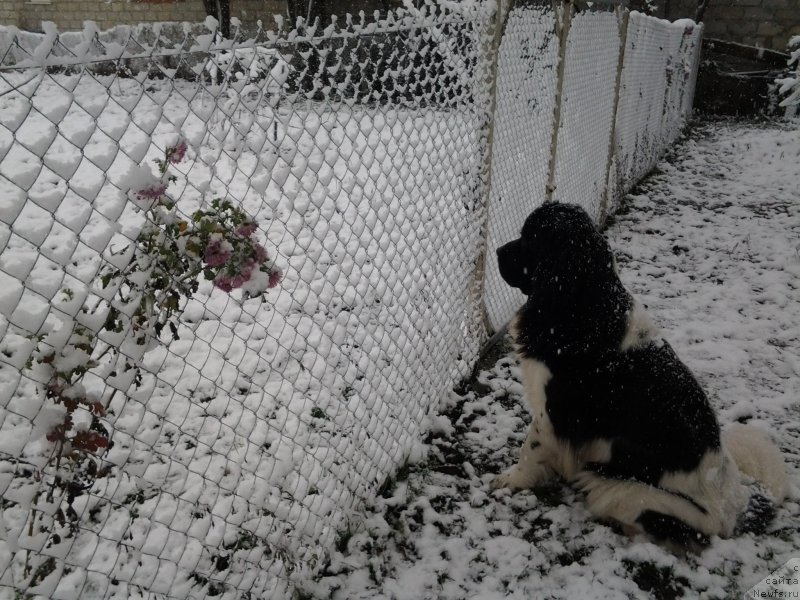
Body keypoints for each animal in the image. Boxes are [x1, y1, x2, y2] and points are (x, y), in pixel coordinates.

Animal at [494, 204, 788, 552]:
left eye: (529, 239)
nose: (497, 251)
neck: (584, 306)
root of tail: (734, 508)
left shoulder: (552, 414)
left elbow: (530, 449)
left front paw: (510, 480)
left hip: (621, 487)